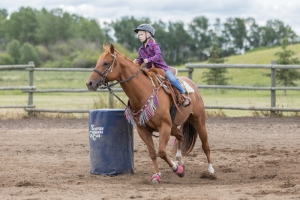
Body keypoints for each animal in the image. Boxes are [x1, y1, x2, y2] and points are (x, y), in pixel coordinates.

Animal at [85, 44, 214, 184]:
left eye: (105, 63)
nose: (89, 83)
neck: (144, 92)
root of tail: (192, 85)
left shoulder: (164, 126)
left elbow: (161, 152)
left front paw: (177, 170)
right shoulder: (143, 130)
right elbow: (152, 153)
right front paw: (157, 175)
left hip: (198, 121)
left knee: (205, 145)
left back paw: (210, 170)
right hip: (173, 126)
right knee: (180, 136)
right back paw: (180, 161)